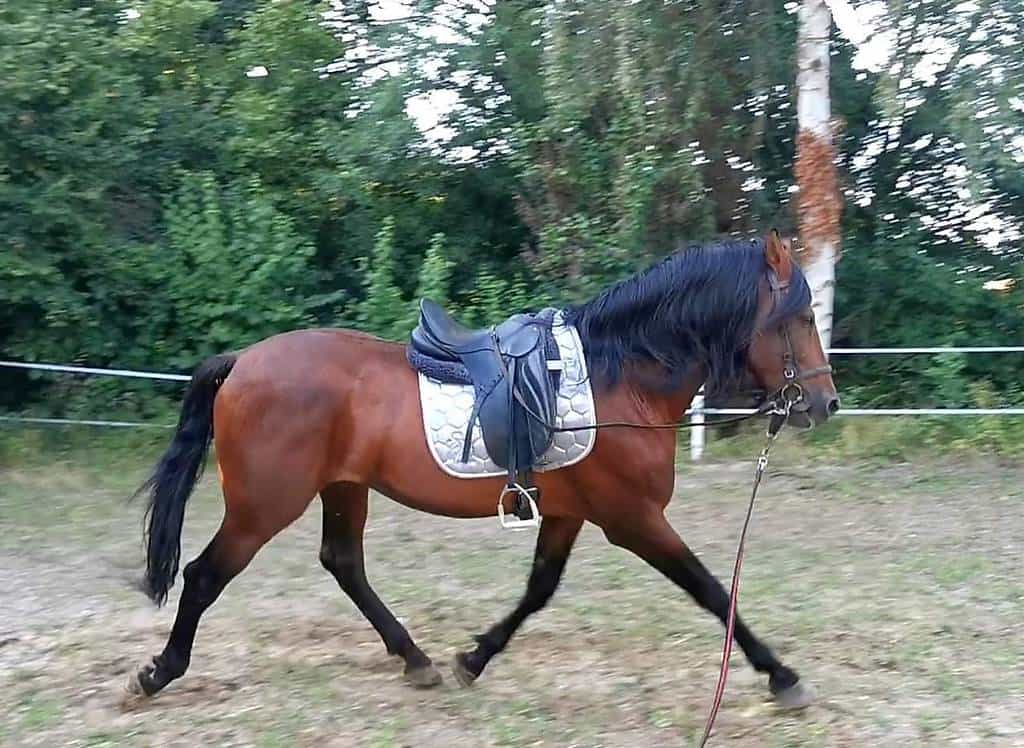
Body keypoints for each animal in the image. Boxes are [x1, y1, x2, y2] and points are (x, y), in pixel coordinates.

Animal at [129, 231, 839, 710]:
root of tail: (243, 362)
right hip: (264, 505)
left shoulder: (569, 513)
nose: (826, 403)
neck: (620, 376)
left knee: (343, 564)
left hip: (343, 488)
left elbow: (539, 590)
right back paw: (160, 672)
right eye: (802, 317)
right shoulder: (632, 518)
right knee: (205, 575)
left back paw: (415, 659)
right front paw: (781, 675)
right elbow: (712, 590)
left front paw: (474, 657)